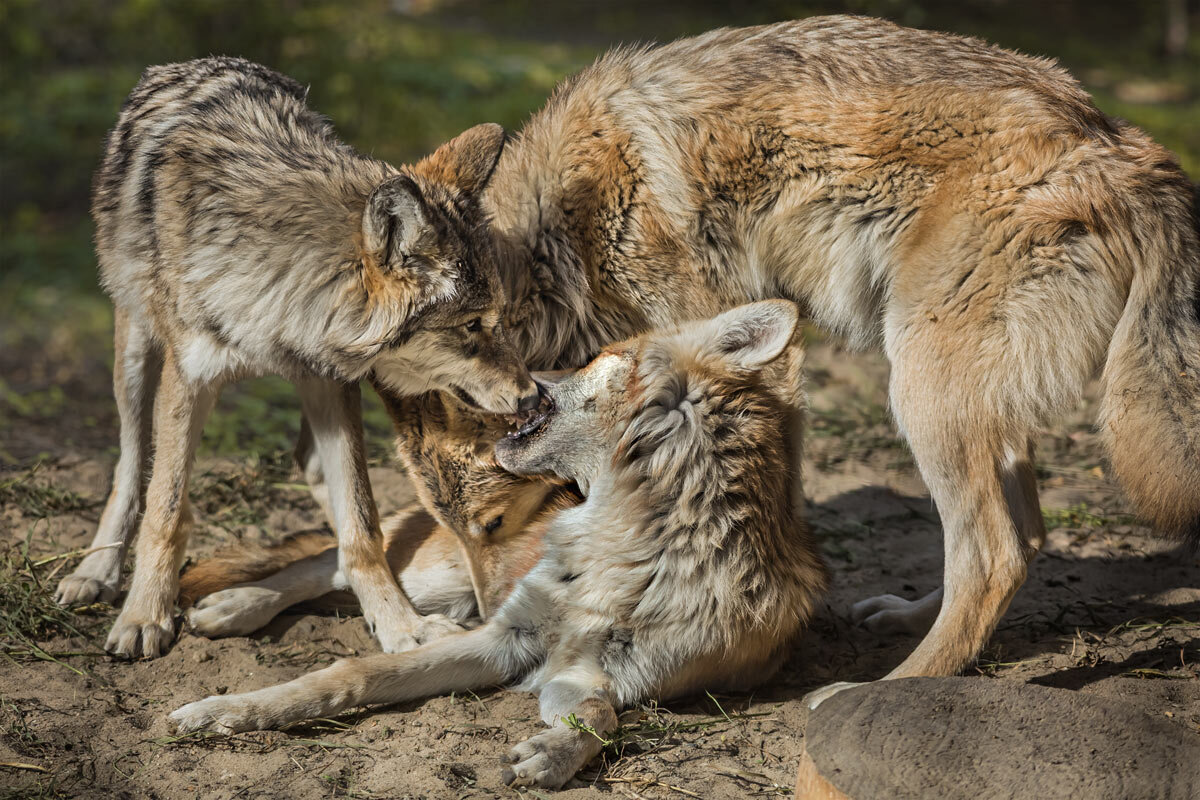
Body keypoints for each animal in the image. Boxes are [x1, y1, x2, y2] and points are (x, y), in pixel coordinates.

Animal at [55, 54, 544, 657]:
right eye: (472, 326)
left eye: (498, 319)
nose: (533, 396)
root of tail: (189, 62)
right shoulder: (188, 380)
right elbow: (164, 511)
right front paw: (145, 614)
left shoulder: (330, 382)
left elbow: (362, 527)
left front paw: (400, 624)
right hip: (134, 350)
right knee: (130, 464)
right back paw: (96, 572)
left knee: (313, 469)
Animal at [169, 298, 830, 786]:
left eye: (596, 356)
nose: (521, 373)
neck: (630, 540)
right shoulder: (503, 637)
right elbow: (346, 674)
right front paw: (225, 712)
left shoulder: (588, 676)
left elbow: (601, 715)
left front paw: (554, 754)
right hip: (437, 577)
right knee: (333, 562)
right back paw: (234, 606)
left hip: (454, 595)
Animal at [302, 15, 1200, 695]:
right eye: (459, 530)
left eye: (492, 524)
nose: (490, 620)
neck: (559, 249)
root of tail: (1124, 141)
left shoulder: (745, 347)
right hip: (965, 395)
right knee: (1026, 536)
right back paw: (913, 623)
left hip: (919, 385)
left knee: (995, 551)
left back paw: (891, 685)